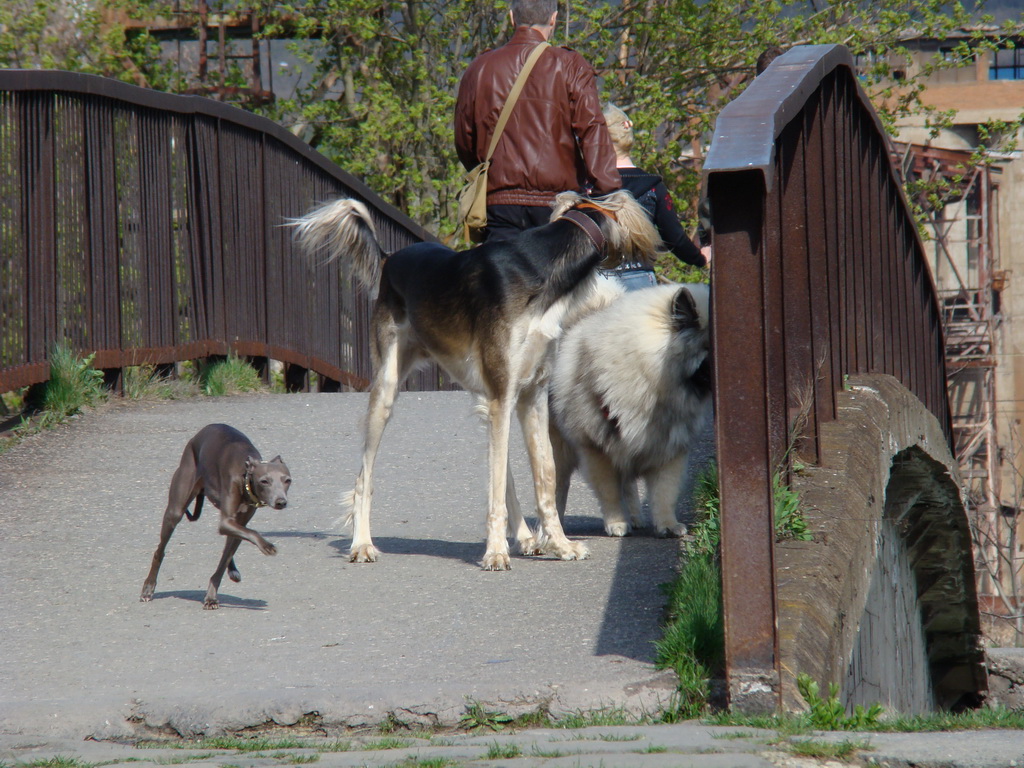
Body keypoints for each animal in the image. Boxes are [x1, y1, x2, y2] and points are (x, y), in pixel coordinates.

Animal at [140, 423, 292, 610]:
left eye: (287, 480)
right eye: (264, 481)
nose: (281, 502)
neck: (245, 476)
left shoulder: (239, 523)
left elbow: (225, 559)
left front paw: (211, 596)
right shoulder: (227, 522)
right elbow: (251, 532)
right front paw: (267, 545)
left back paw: (232, 570)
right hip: (176, 507)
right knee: (159, 550)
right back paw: (148, 588)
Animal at [290, 192, 655, 573]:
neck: (541, 268)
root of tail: (390, 257)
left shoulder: (531, 394)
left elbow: (546, 473)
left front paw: (559, 544)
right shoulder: (503, 394)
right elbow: (497, 486)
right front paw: (495, 552)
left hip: (489, 398)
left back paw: (526, 538)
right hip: (389, 389)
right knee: (365, 476)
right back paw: (362, 543)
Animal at [552, 280, 712, 536]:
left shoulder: (669, 449)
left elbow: (665, 492)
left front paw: (667, 524)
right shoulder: (597, 449)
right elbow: (609, 491)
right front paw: (616, 522)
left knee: (629, 485)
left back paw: (637, 518)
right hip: (559, 449)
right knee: (557, 485)